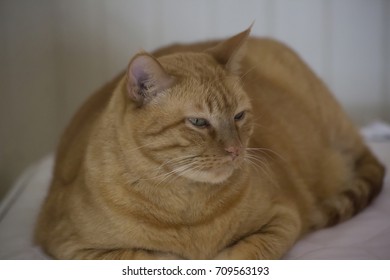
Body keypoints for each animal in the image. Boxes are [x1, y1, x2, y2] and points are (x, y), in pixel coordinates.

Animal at [35, 27, 384, 260]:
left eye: (239, 116)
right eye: (199, 122)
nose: (236, 150)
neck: (188, 208)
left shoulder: (284, 218)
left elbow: (244, 254)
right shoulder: (69, 245)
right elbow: (152, 257)